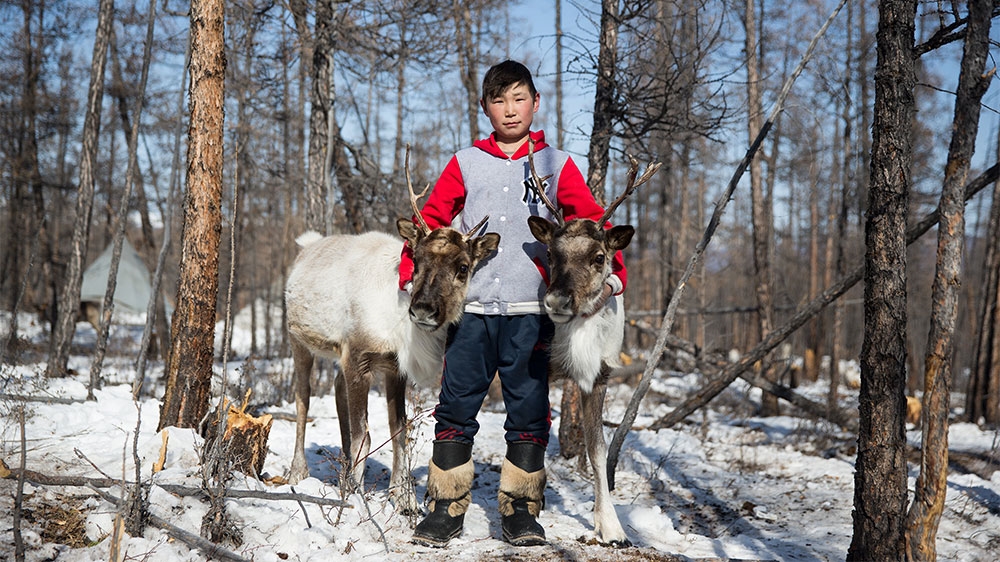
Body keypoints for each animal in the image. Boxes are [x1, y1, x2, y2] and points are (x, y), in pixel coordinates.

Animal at [284, 151, 500, 514]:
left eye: (463, 267)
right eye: (417, 260)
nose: (423, 309)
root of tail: (305, 246)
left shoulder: (392, 367)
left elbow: (398, 431)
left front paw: (403, 498)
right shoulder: (358, 357)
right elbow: (364, 433)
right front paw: (355, 498)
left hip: (340, 356)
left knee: (337, 390)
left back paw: (343, 469)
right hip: (298, 341)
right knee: (302, 400)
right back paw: (298, 472)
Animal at [525, 142, 661, 546]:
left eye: (599, 257)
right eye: (550, 254)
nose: (556, 301)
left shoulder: (598, 377)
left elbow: (597, 450)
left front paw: (611, 528)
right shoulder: (538, 369)